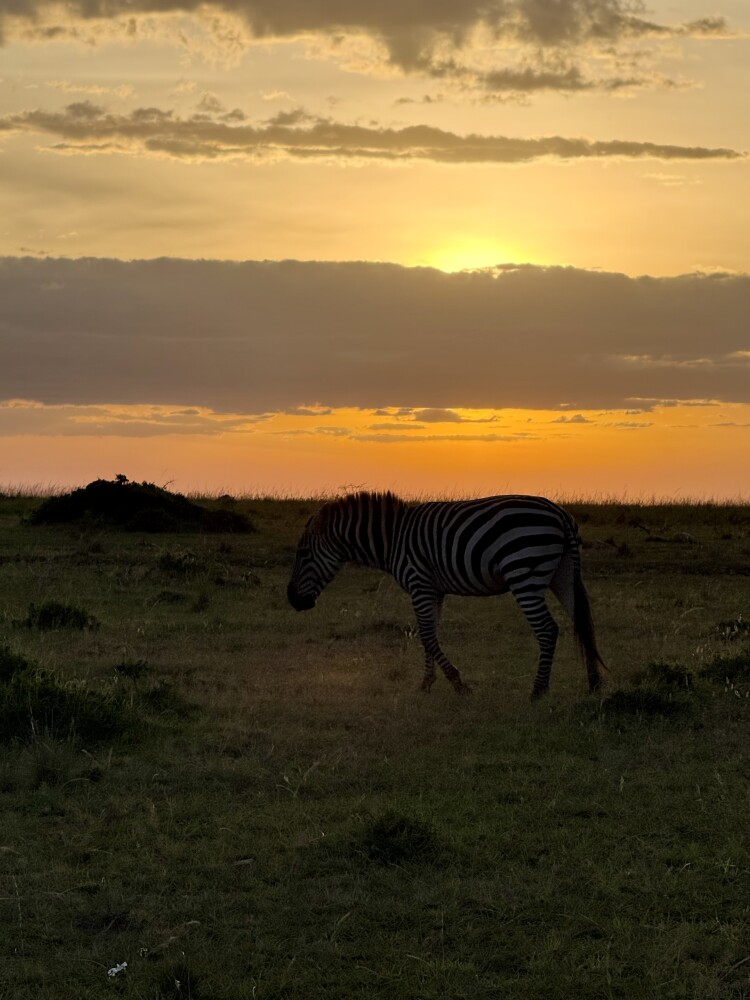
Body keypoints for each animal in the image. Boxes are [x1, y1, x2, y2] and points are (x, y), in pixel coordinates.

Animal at [287, 491, 606, 699]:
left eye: (303, 553)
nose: (292, 600)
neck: (393, 540)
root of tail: (560, 514)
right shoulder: (433, 590)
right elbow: (429, 633)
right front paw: (426, 682)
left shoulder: (419, 584)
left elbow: (427, 635)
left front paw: (457, 683)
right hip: (562, 573)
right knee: (581, 622)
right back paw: (594, 682)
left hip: (524, 572)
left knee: (548, 629)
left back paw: (538, 691)